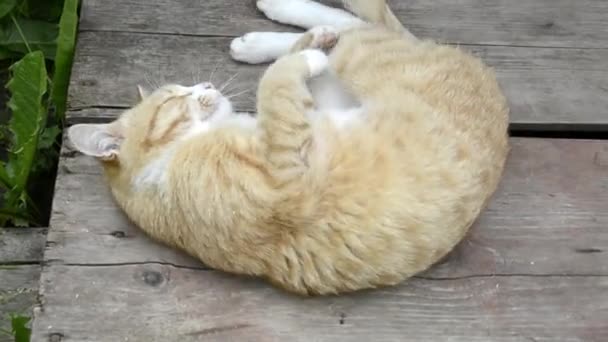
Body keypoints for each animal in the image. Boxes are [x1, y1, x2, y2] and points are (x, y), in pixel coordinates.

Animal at [69, 0, 510, 294]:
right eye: (176, 96)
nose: (206, 85)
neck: (166, 168)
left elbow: (280, 75)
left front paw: (307, 42)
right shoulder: (286, 165)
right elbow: (276, 79)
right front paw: (307, 51)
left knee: (362, 23)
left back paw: (276, 25)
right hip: (361, 61)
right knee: (363, 30)